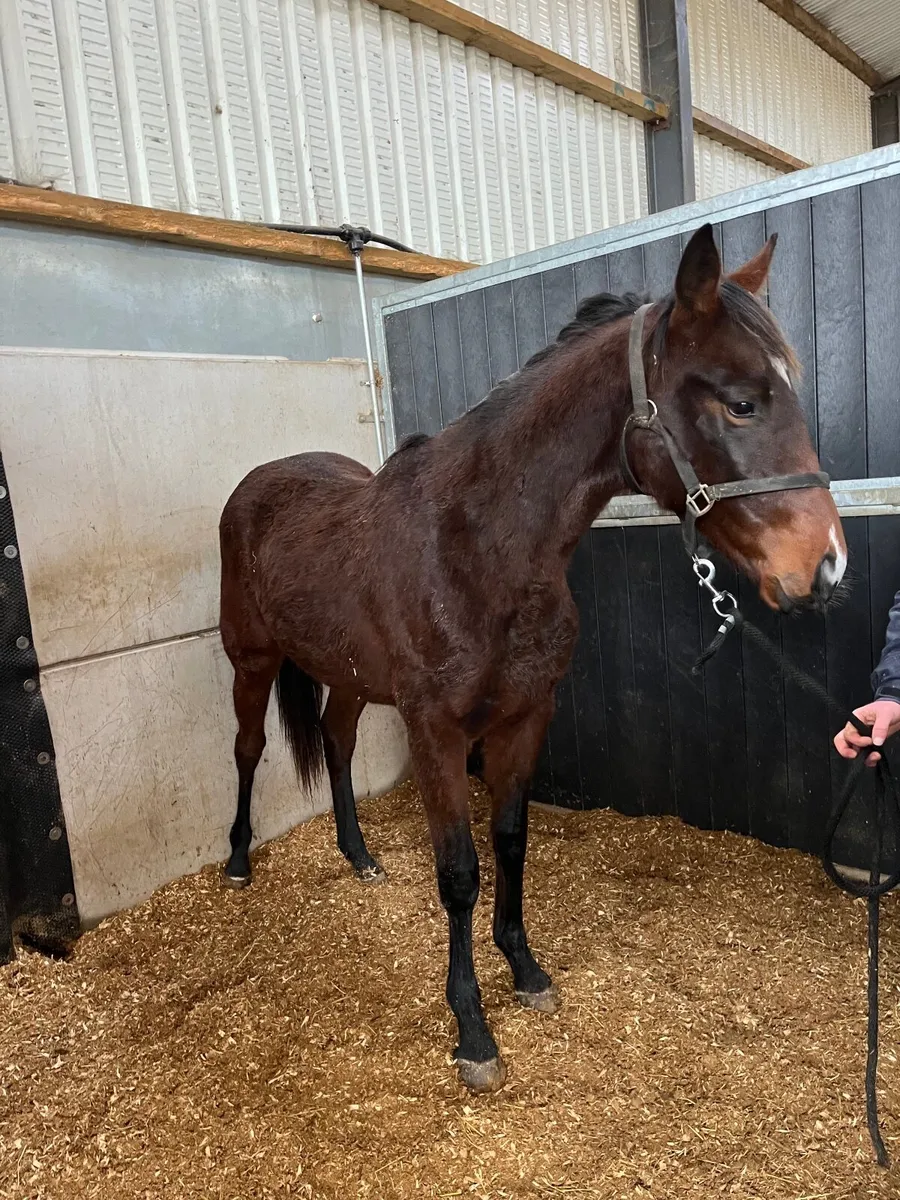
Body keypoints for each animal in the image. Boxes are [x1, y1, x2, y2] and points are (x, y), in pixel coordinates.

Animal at [218, 225, 847, 1093]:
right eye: (741, 400)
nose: (825, 567)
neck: (478, 548)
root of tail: (258, 482)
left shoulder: (524, 716)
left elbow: (512, 842)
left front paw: (525, 970)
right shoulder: (437, 732)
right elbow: (459, 873)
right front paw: (473, 1032)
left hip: (347, 677)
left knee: (337, 745)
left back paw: (360, 856)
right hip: (248, 660)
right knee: (247, 749)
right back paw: (238, 862)